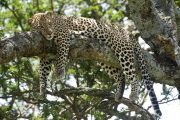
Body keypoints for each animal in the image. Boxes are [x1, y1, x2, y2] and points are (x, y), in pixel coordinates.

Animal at [28, 11, 162, 117]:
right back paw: (119, 95)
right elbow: (43, 72)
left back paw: (133, 94)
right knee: (120, 76)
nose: (50, 33)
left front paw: (59, 73)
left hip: (122, 50)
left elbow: (61, 55)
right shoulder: (44, 54)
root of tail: (128, 32)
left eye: (50, 24)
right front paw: (42, 90)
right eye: (41, 26)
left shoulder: (64, 37)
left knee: (133, 77)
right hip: (104, 57)